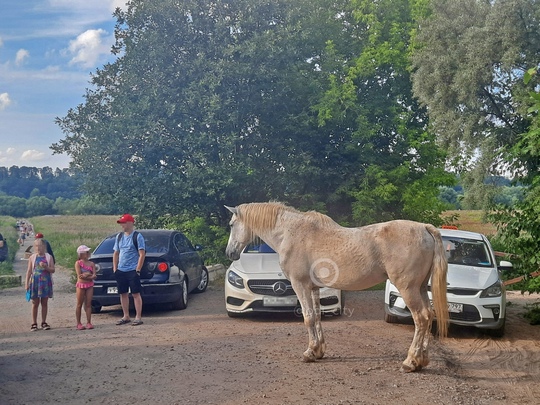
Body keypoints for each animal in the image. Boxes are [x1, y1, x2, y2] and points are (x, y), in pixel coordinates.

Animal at [224, 200, 448, 370]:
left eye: (232, 224)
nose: (229, 252)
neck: (291, 233)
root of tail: (423, 227)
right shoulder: (313, 288)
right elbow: (317, 317)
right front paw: (318, 351)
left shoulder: (300, 285)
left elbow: (308, 317)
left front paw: (309, 353)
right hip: (420, 287)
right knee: (429, 315)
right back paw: (422, 359)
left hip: (408, 288)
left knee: (421, 318)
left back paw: (411, 361)